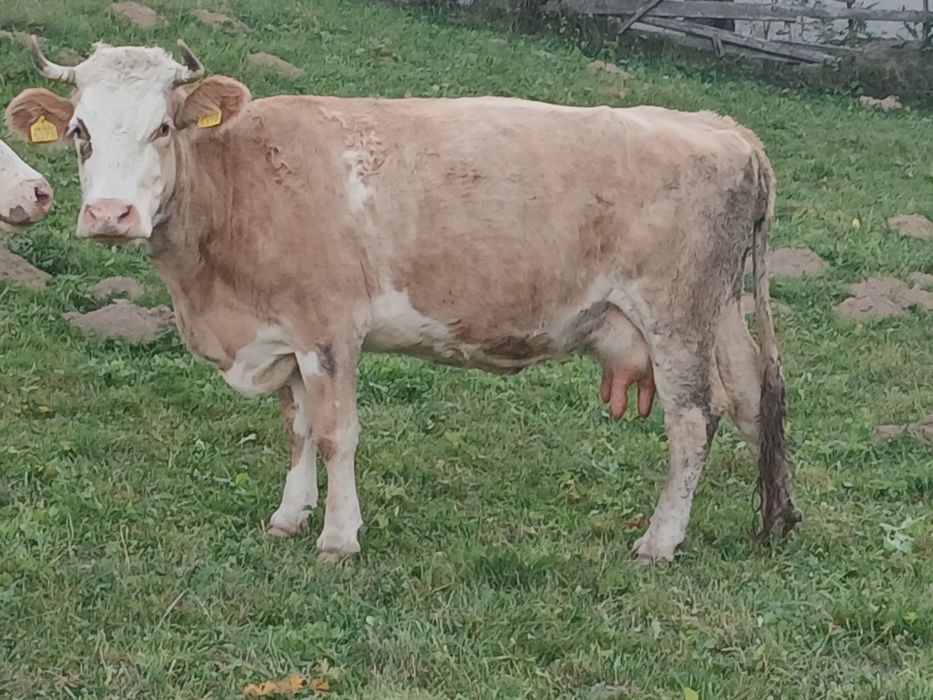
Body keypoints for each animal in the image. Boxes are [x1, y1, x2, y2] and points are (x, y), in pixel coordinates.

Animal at [6, 38, 801, 563]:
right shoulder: (283, 335)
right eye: (78, 132)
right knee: (751, 399)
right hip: (718, 317)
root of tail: (719, 125)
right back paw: (777, 520)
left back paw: (659, 542)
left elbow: (336, 433)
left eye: (163, 126)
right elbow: (297, 429)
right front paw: (289, 516)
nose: (110, 215)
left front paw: (337, 538)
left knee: (692, 422)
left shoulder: (329, 330)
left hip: (675, 319)